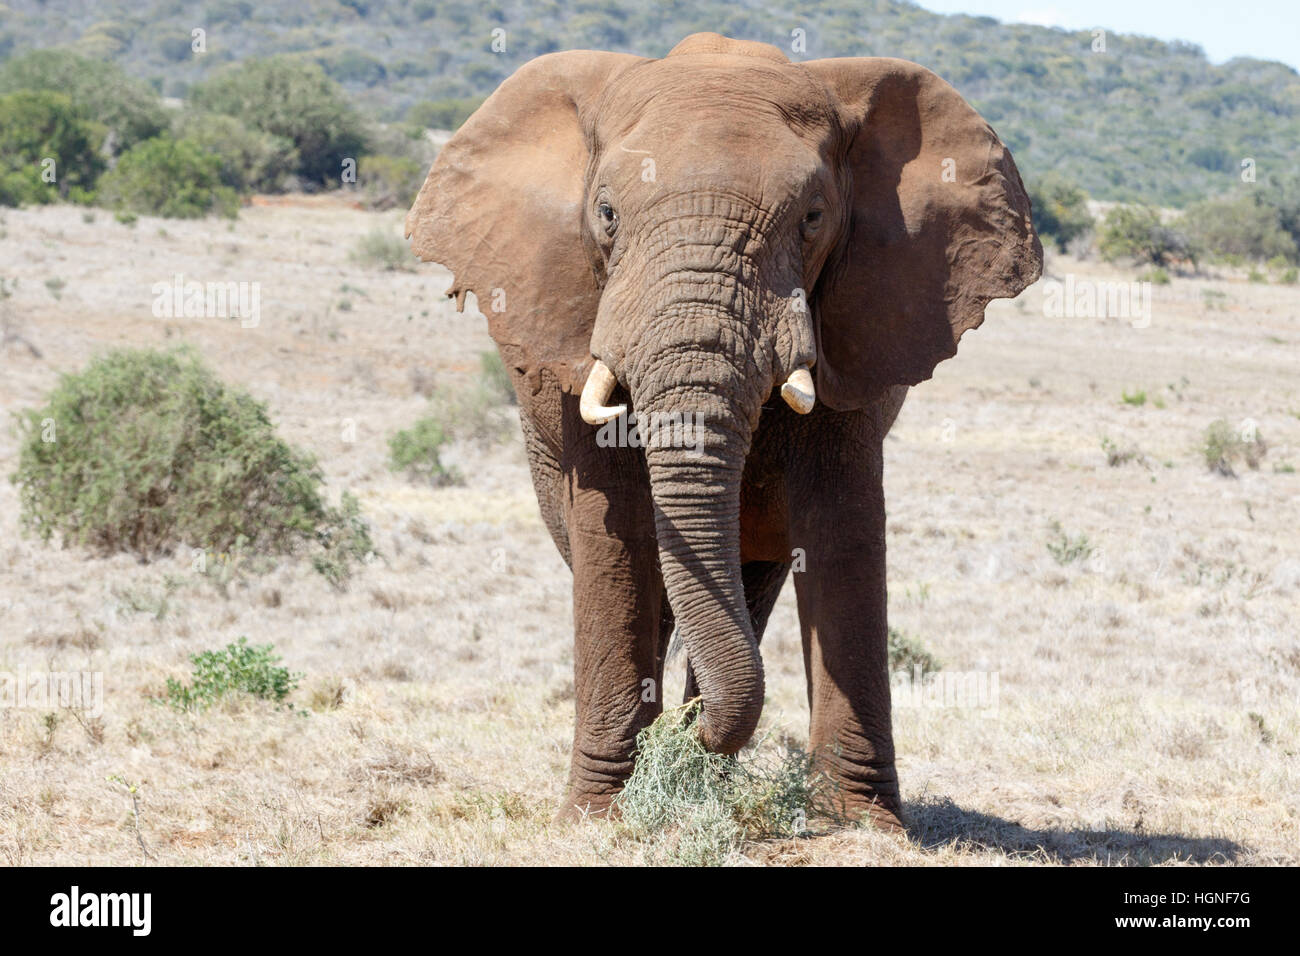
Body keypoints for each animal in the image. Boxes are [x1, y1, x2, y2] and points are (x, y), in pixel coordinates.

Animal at [406, 32, 1042, 828]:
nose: (695, 738)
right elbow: (617, 539)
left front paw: (858, 824)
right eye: (607, 213)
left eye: (812, 218)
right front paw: (601, 815)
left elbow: (844, 525)